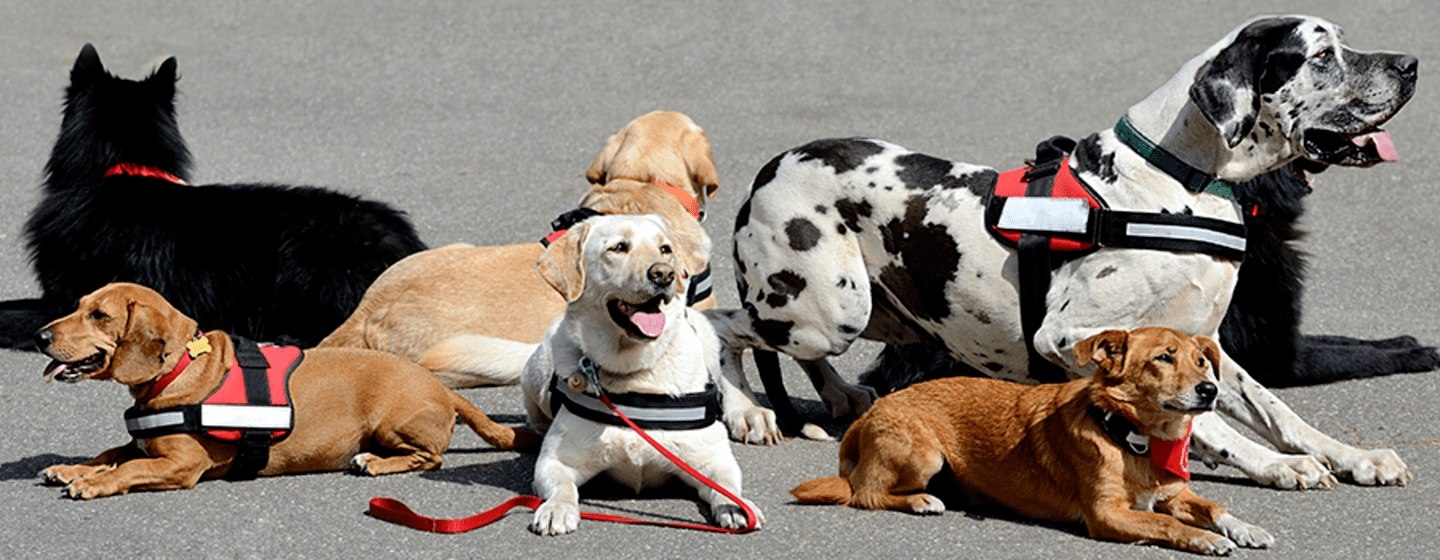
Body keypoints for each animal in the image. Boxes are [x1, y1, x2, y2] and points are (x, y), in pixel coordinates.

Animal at [36, 282, 538, 500]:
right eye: (79, 306)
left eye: (99, 315)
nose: (40, 336)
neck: (180, 367)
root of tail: (441, 387)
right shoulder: (142, 444)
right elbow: (111, 453)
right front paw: (72, 468)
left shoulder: (182, 465)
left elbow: (128, 468)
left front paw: (92, 482)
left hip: (392, 423)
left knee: (428, 457)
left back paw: (373, 463)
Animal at [794, 326, 1278, 552]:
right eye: (1163, 358)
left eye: (1202, 361)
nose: (1210, 390)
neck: (1131, 437)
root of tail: (868, 414)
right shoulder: (1107, 515)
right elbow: (1166, 524)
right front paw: (1206, 540)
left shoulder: (1175, 494)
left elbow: (1214, 507)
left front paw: (1246, 528)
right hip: (924, 454)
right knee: (866, 493)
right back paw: (921, 500)